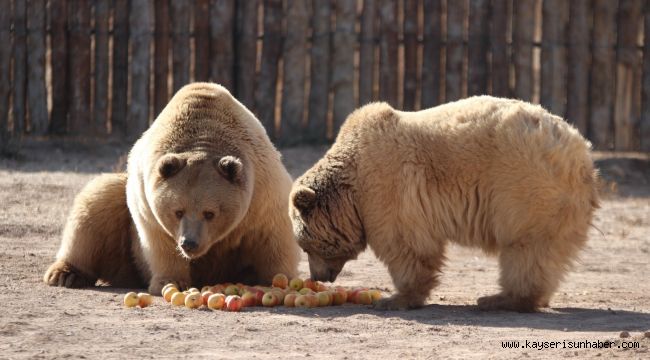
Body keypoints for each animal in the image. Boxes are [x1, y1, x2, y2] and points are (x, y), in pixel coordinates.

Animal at [45, 83, 298, 294]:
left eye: (210, 213)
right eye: (178, 211)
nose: (189, 243)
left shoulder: (262, 195)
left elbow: (274, 237)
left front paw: (279, 279)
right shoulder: (146, 200)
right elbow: (159, 241)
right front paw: (171, 282)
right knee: (98, 202)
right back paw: (65, 274)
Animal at [288, 96, 596, 312]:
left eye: (306, 246)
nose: (320, 277)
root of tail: (581, 155)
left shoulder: (386, 186)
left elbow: (405, 244)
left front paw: (394, 298)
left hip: (524, 187)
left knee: (525, 249)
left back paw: (498, 299)